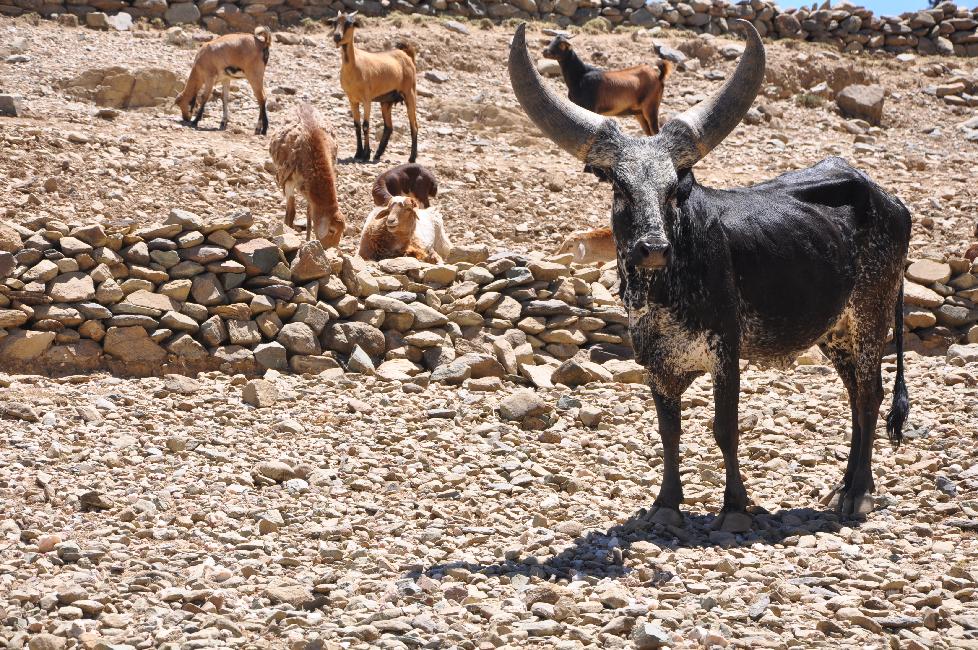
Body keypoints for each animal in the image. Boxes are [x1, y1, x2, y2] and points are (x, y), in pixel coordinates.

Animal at [508, 22, 911, 531]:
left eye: (676, 187)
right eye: (619, 185)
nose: (653, 249)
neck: (665, 289)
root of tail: (891, 201)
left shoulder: (726, 351)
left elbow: (725, 428)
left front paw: (735, 507)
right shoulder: (656, 362)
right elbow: (669, 430)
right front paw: (666, 504)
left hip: (870, 316)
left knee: (870, 394)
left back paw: (858, 493)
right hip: (835, 332)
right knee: (857, 397)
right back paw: (845, 488)